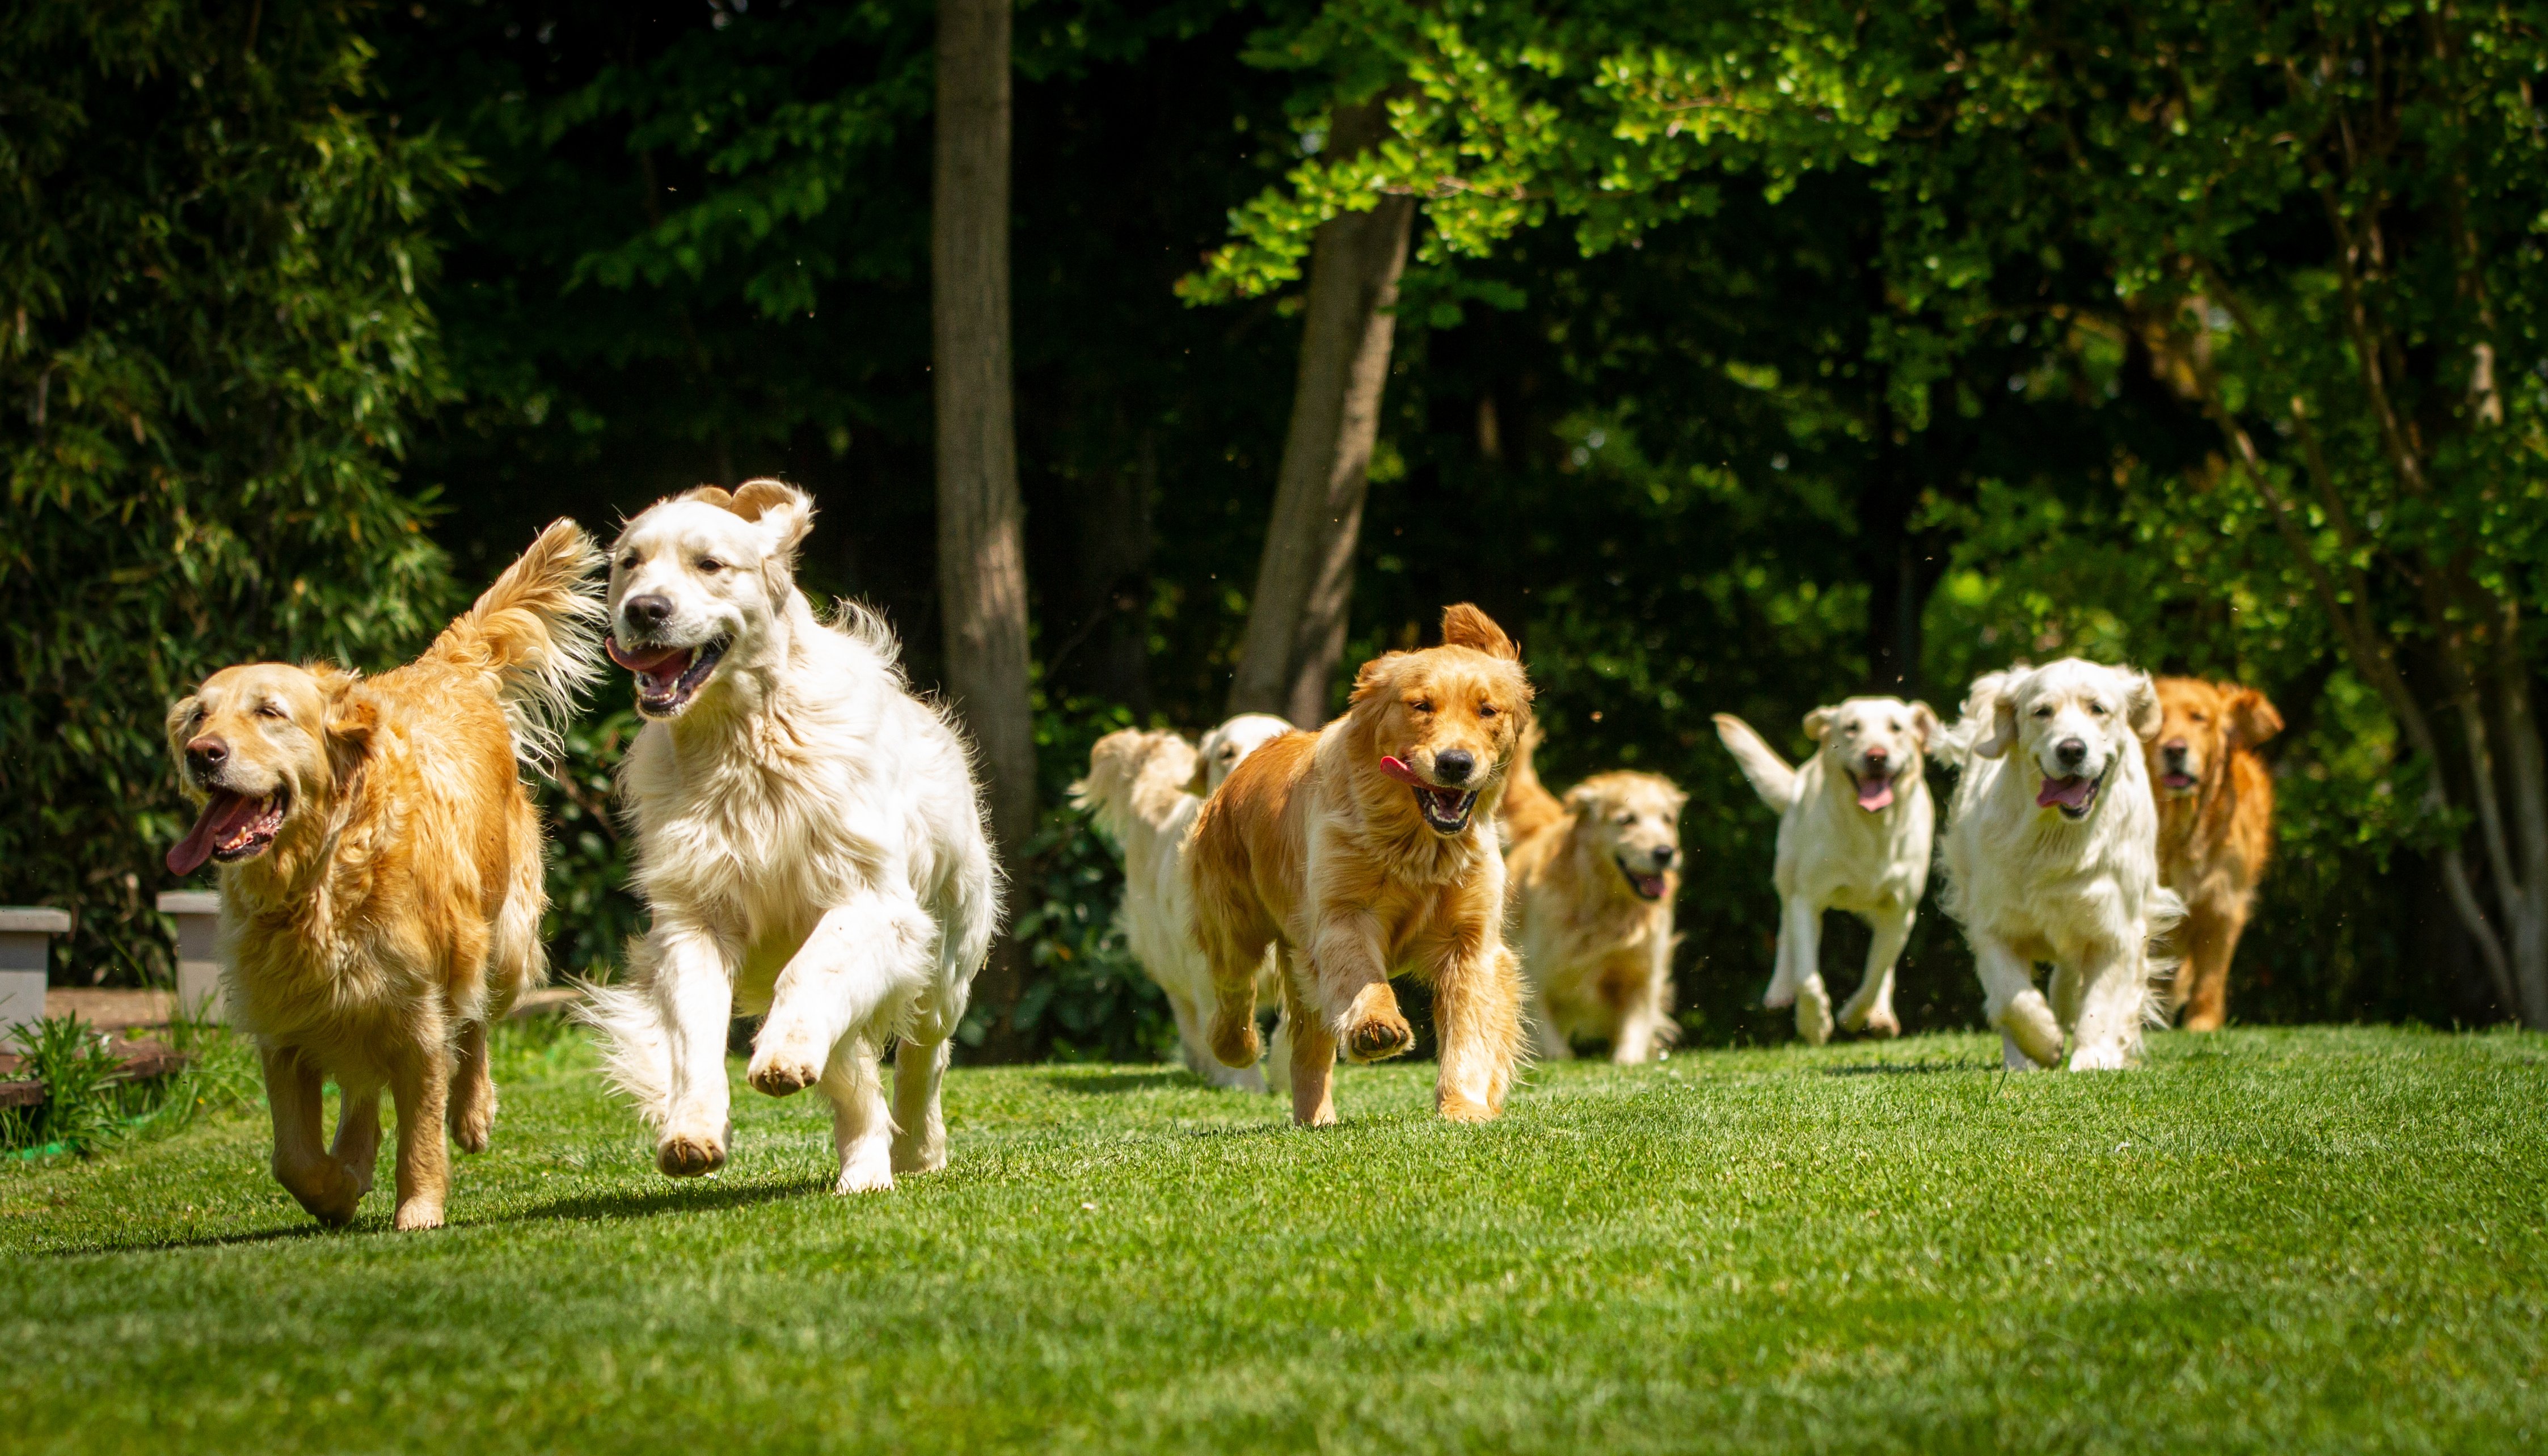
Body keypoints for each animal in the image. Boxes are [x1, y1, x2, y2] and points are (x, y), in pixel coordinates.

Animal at [169, 520, 606, 1229]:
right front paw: (336, 1185)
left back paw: (473, 1110)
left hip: (504, 943)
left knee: (477, 1023)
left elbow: (422, 1129)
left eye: (269, 712)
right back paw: (354, 1153)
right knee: (363, 1085)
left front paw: (419, 1209)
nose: (199, 752)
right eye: (200, 715)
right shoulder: (284, 1025)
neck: (320, 878)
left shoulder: (417, 1013)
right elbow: (292, 1156)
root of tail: (443, 668)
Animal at [583, 484, 998, 1188]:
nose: (644, 609)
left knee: (923, 1055)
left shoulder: (872, 902)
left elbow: (810, 970)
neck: (743, 739)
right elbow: (694, 1032)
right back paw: (864, 1170)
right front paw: (693, 1128)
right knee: (856, 1084)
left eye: (710, 564)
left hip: (946, 957)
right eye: (629, 563)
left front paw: (778, 1055)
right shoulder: (694, 917)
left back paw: (916, 1149)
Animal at [1182, 604, 1518, 1127]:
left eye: (1488, 710)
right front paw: (1376, 1025)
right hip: (1233, 923)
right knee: (1234, 989)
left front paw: (1464, 1105)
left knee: (1307, 1050)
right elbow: (1362, 974)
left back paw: (1315, 1117)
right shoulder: (1343, 913)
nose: (1455, 763)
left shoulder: (1471, 938)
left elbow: (1470, 1027)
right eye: (1420, 706)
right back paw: (1235, 1047)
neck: (1416, 844)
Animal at [1722, 698, 1936, 1040]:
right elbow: (1807, 977)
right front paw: (1814, 1023)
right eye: (1852, 728)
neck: (1872, 829)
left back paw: (1881, 1016)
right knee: (1785, 933)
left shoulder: (1901, 911)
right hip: (1786, 872)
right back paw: (1780, 991)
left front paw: (1855, 1016)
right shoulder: (1806, 900)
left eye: (1896, 728)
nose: (1876, 756)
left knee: (1885, 966)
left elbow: (1876, 973)